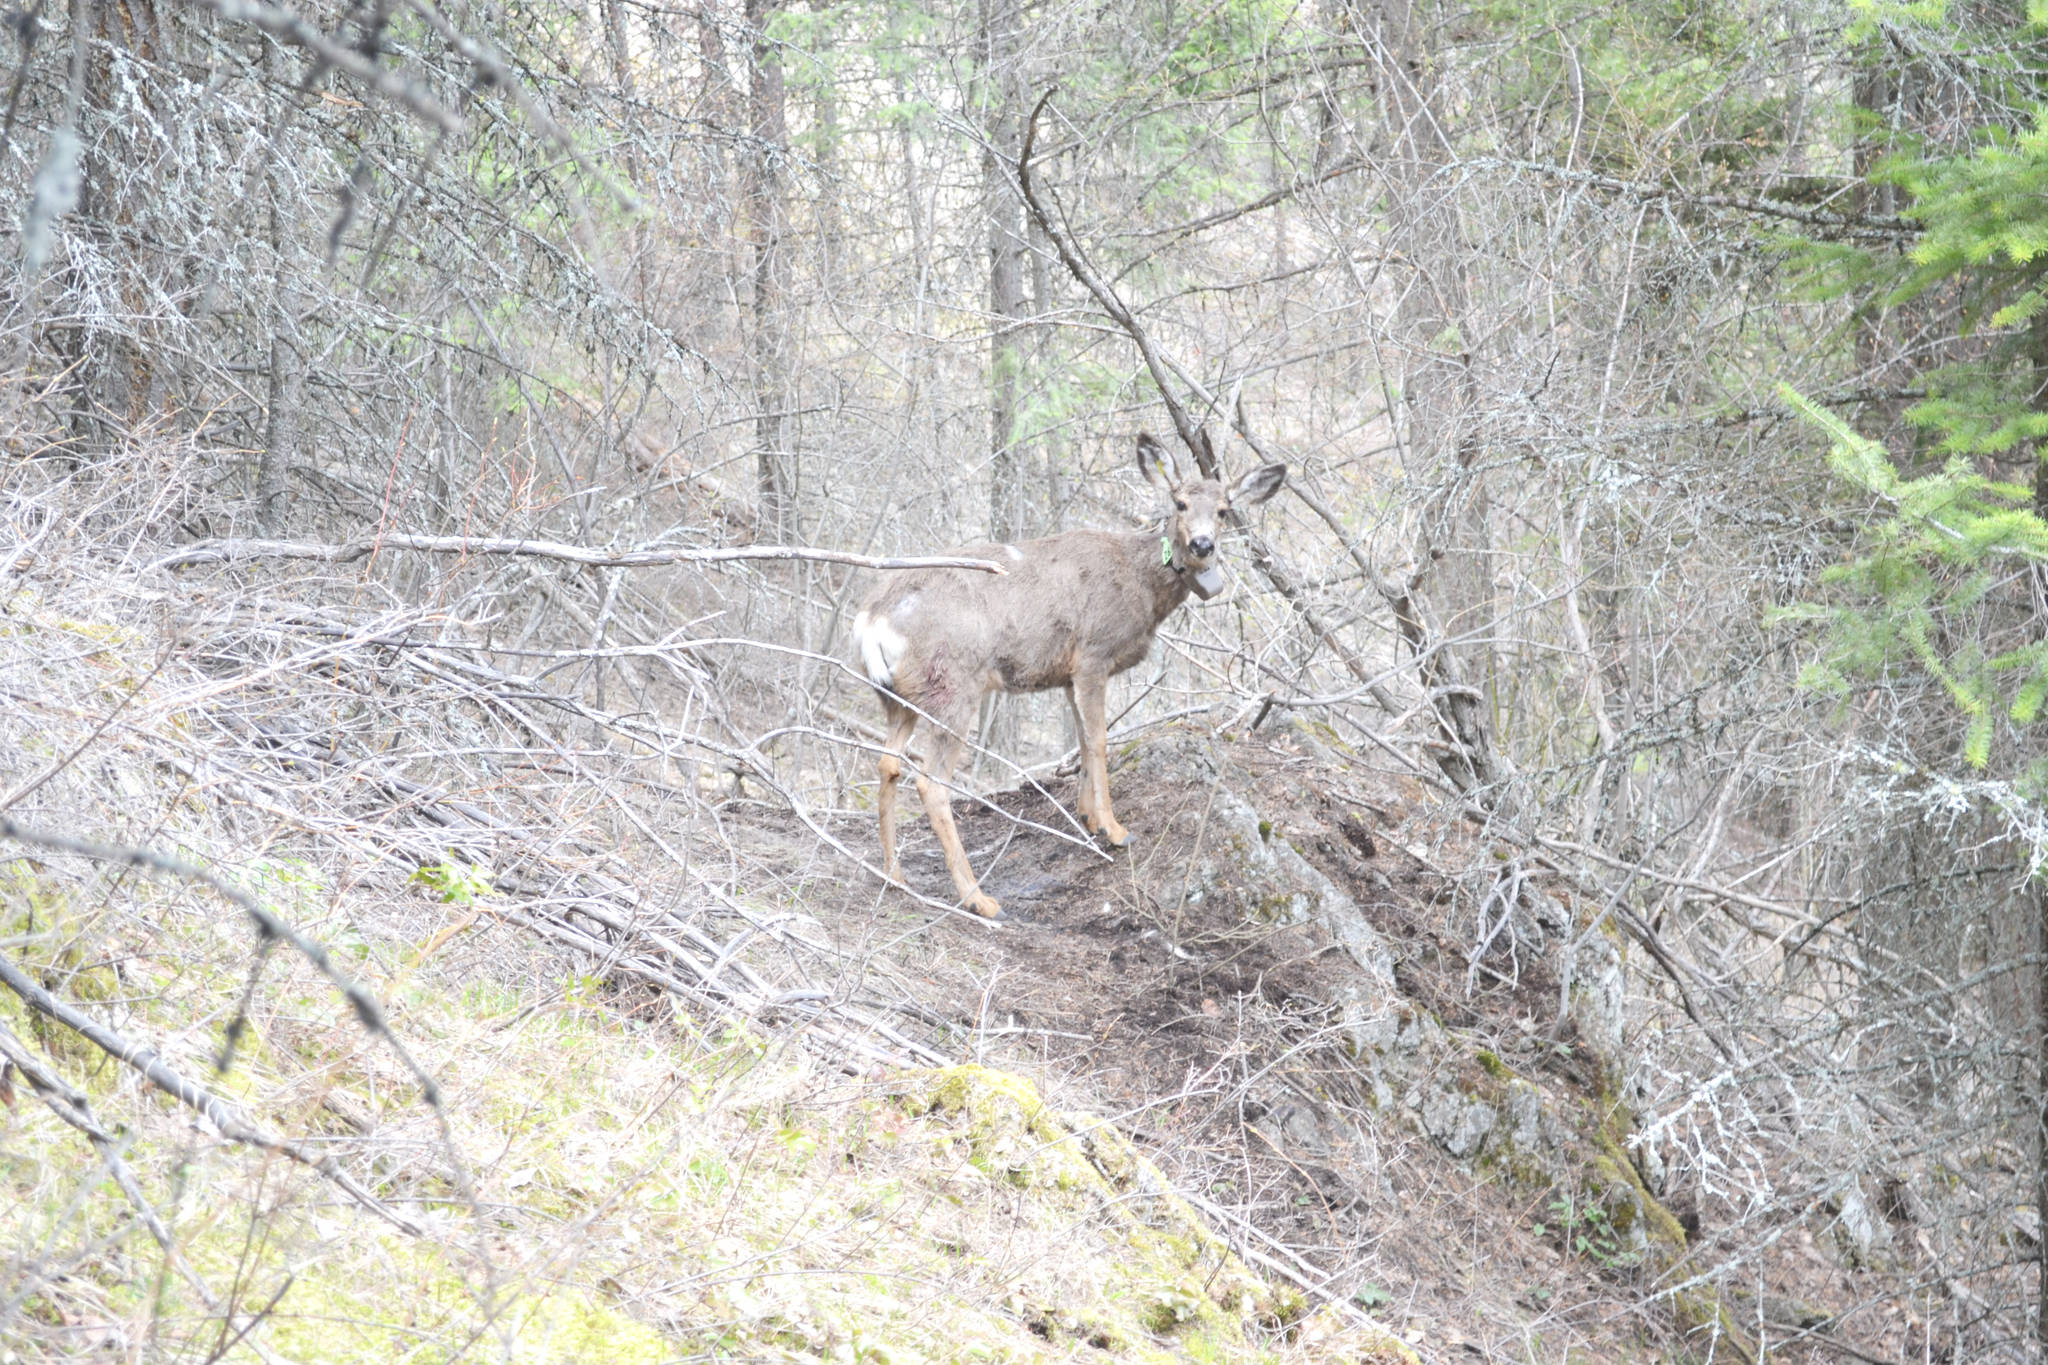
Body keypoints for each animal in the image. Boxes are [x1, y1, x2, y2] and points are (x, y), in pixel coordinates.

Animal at [847, 435, 1277, 916]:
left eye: (1224, 509)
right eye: (1180, 503)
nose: (1203, 545)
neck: (1141, 585)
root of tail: (873, 619)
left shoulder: (1069, 672)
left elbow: (1082, 738)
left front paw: (1088, 818)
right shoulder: (1094, 653)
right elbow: (1100, 738)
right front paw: (1115, 829)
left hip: (897, 696)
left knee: (887, 763)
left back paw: (895, 874)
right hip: (953, 684)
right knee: (931, 781)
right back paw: (979, 898)